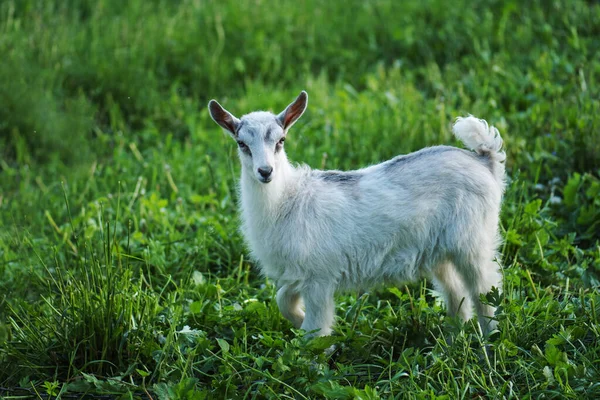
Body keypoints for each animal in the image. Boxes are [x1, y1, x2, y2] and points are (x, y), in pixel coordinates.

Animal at [209, 91, 504, 338]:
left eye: (281, 141)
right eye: (242, 144)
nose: (265, 172)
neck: (288, 199)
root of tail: (484, 161)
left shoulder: (319, 278)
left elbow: (314, 330)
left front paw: (315, 359)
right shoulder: (299, 274)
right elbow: (283, 301)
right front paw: (301, 321)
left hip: (474, 243)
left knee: (485, 292)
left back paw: (490, 343)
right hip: (440, 252)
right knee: (457, 296)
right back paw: (453, 341)